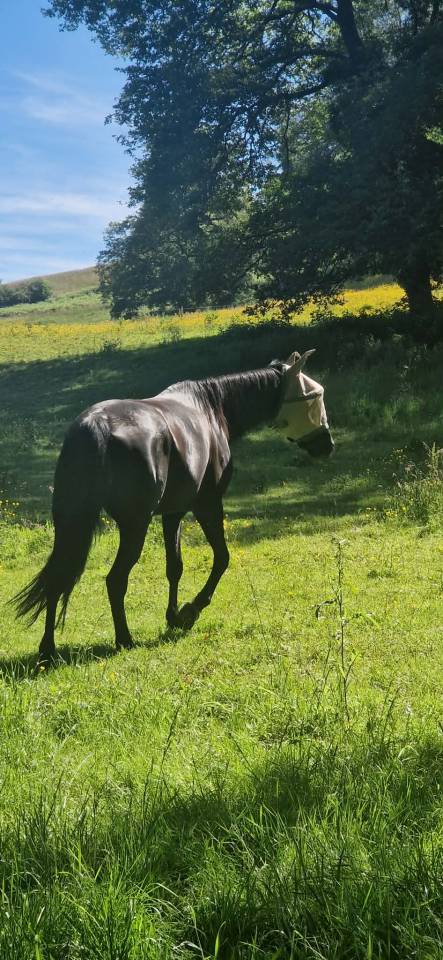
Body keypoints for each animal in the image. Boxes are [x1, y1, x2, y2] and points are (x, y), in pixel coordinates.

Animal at [13, 349, 334, 663]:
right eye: (314, 397)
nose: (327, 446)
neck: (210, 410)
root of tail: (97, 426)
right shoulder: (207, 504)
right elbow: (222, 558)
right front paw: (191, 610)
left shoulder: (173, 513)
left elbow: (174, 567)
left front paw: (173, 616)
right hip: (134, 526)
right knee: (115, 579)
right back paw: (124, 639)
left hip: (70, 524)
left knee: (58, 577)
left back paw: (48, 649)